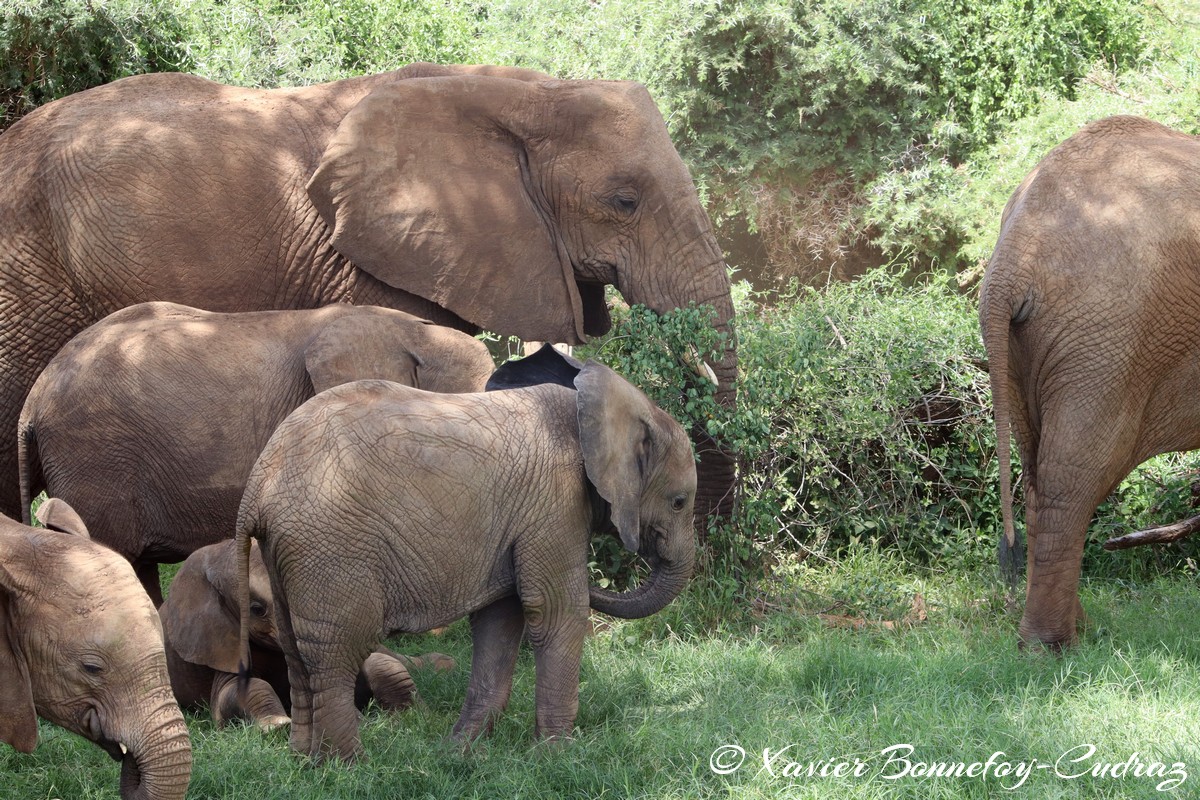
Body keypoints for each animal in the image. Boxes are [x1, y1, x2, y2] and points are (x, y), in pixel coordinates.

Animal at [160, 538, 455, 731]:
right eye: (256, 610)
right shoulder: (220, 643)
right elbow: (233, 690)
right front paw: (277, 725)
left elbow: (376, 664)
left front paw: (413, 715)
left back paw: (444, 664)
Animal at [234, 358, 697, 762]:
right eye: (679, 502)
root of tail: (257, 481)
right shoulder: (555, 504)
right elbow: (556, 610)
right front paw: (558, 757)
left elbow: (501, 617)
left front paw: (461, 751)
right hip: (330, 545)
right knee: (337, 652)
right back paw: (349, 766)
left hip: (289, 551)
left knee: (296, 650)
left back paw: (305, 762)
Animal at [980, 115, 1200, 648]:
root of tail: (1013, 255)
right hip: (1108, 336)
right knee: (1075, 475)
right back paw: (1051, 646)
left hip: (1030, 350)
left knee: (1038, 474)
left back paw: (1064, 633)